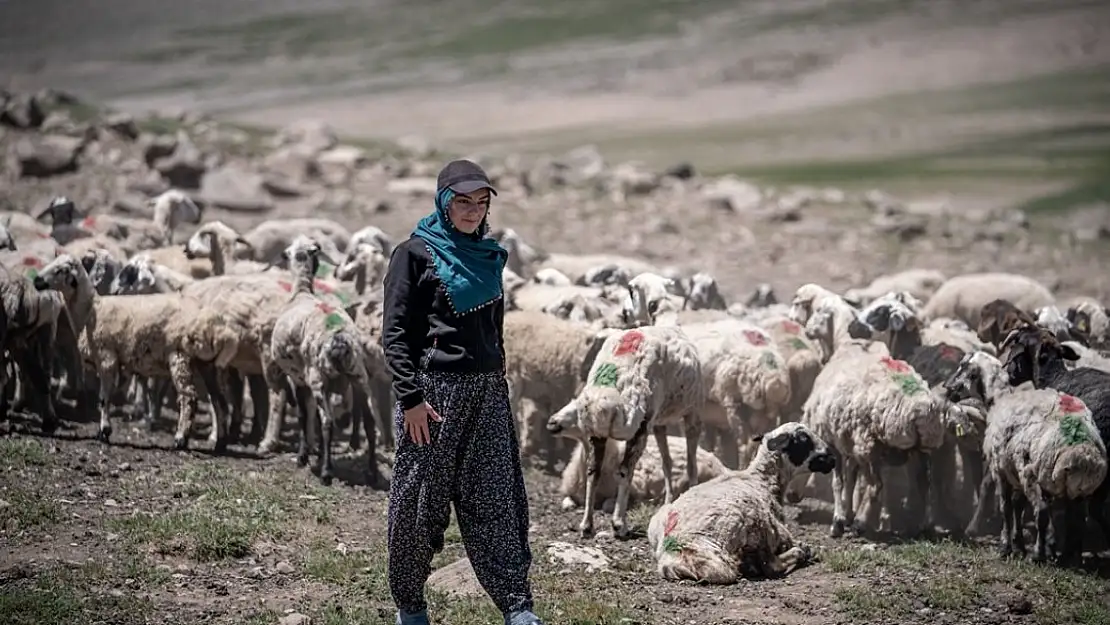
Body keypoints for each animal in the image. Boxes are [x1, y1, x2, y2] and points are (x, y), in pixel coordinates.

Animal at [543, 321, 701, 537]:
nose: (552, 422)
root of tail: (605, 398)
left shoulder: (660, 421)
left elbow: (667, 461)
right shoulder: (691, 412)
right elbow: (690, 463)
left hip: (598, 433)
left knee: (593, 472)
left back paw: (587, 525)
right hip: (639, 426)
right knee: (625, 471)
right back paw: (619, 524)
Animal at [648, 424, 834, 586]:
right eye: (803, 438)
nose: (832, 458)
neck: (762, 479)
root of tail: (676, 549)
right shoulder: (778, 530)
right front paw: (806, 548)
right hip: (754, 520)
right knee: (770, 566)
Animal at [945, 353, 1110, 561]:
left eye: (962, 366)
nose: (947, 389)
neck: (998, 399)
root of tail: (1081, 451)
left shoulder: (1001, 471)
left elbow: (1006, 508)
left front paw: (1006, 547)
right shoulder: (1014, 471)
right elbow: (1018, 506)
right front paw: (1021, 545)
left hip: (1033, 473)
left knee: (1042, 512)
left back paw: (1038, 555)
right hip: (1076, 489)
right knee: (1077, 520)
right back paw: (1069, 557)